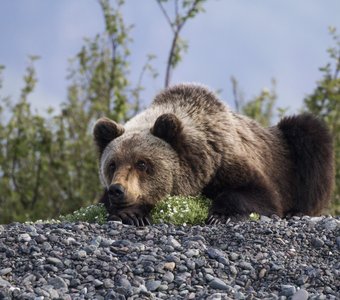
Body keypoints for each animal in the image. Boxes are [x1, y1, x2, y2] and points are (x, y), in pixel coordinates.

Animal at [93, 82, 334, 225]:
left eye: (142, 163)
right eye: (112, 164)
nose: (118, 190)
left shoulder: (227, 160)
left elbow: (261, 195)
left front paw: (220, 215)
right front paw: (131, 214)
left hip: (289, 151)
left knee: (310, 136)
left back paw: (299, 211)